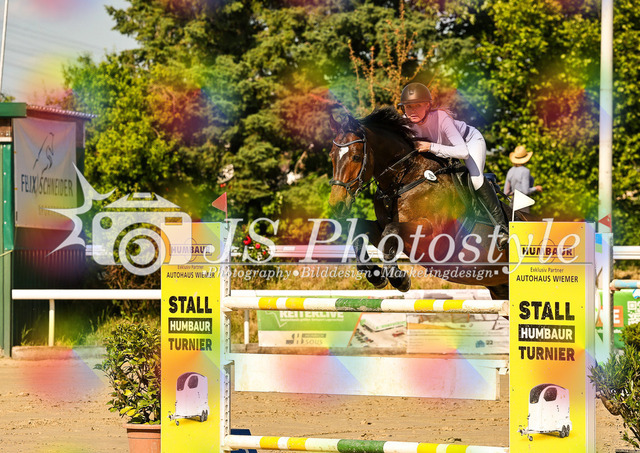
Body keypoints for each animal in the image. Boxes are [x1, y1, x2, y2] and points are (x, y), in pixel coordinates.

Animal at [328, 106, 525, 300]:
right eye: (331, 156)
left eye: (355, 157)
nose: (337, 204)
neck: (404, 179)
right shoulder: (382, 228)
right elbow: (361, 230)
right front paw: (374, 274)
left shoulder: (436, 236)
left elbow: (392, 230)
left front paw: (399, 279)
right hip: (500, 288)